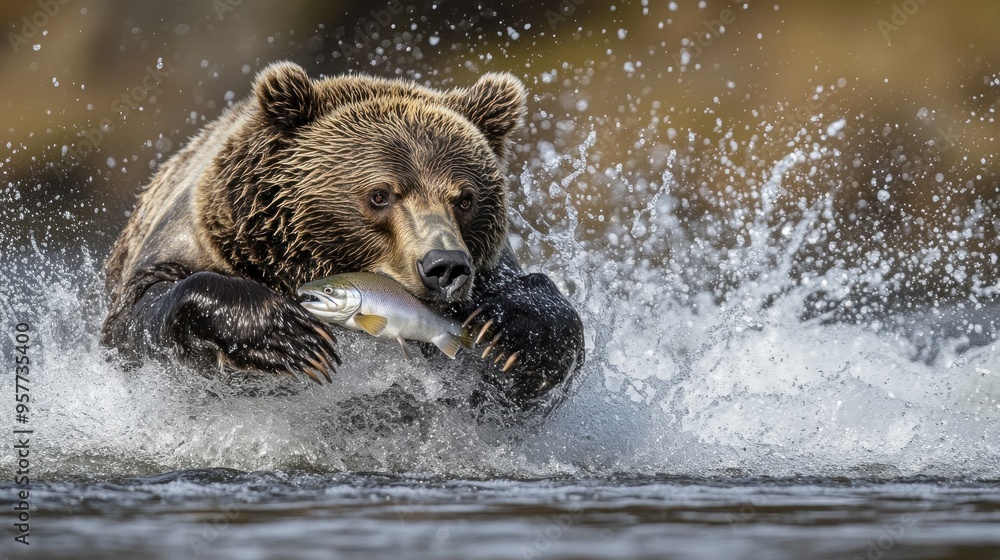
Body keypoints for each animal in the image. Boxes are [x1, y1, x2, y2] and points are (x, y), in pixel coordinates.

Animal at [101, 61, 584, 412]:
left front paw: (506, 328)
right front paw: (290, 336)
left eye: (465, 198)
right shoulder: (196, 239)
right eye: (380, 194)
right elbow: (136, 321)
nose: (445, 267)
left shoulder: (492, 265)